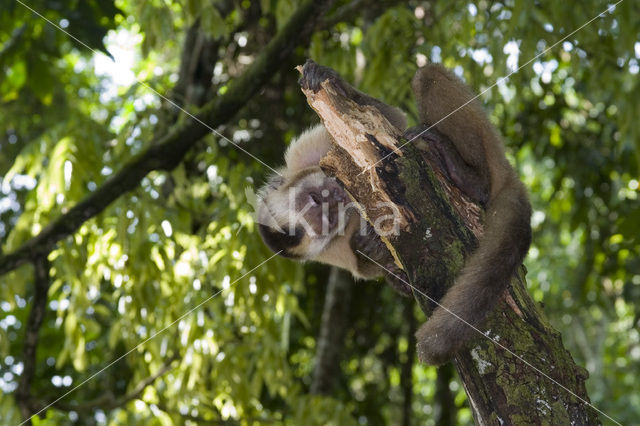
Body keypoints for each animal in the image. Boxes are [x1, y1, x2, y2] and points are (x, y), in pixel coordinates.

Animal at [255, 60, 528, 364]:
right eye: (328, 219)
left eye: (315, 199)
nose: (335, 198)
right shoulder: (328, 251)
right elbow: (364, 267)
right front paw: (373, 250)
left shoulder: (303, 154)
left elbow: (391, 119)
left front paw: (332, 80)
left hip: (491, 147)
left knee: (426, 77)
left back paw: (471, 177)